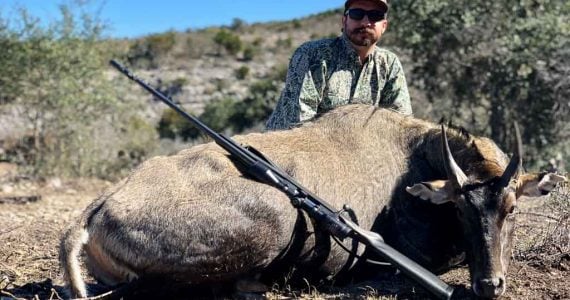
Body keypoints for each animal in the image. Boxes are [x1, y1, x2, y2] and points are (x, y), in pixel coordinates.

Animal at [60, 104, 560, 298]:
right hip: (280, 215)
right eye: (457, 208)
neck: (413, 154)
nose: (489, 285)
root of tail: (96, 210)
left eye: (511, 208)